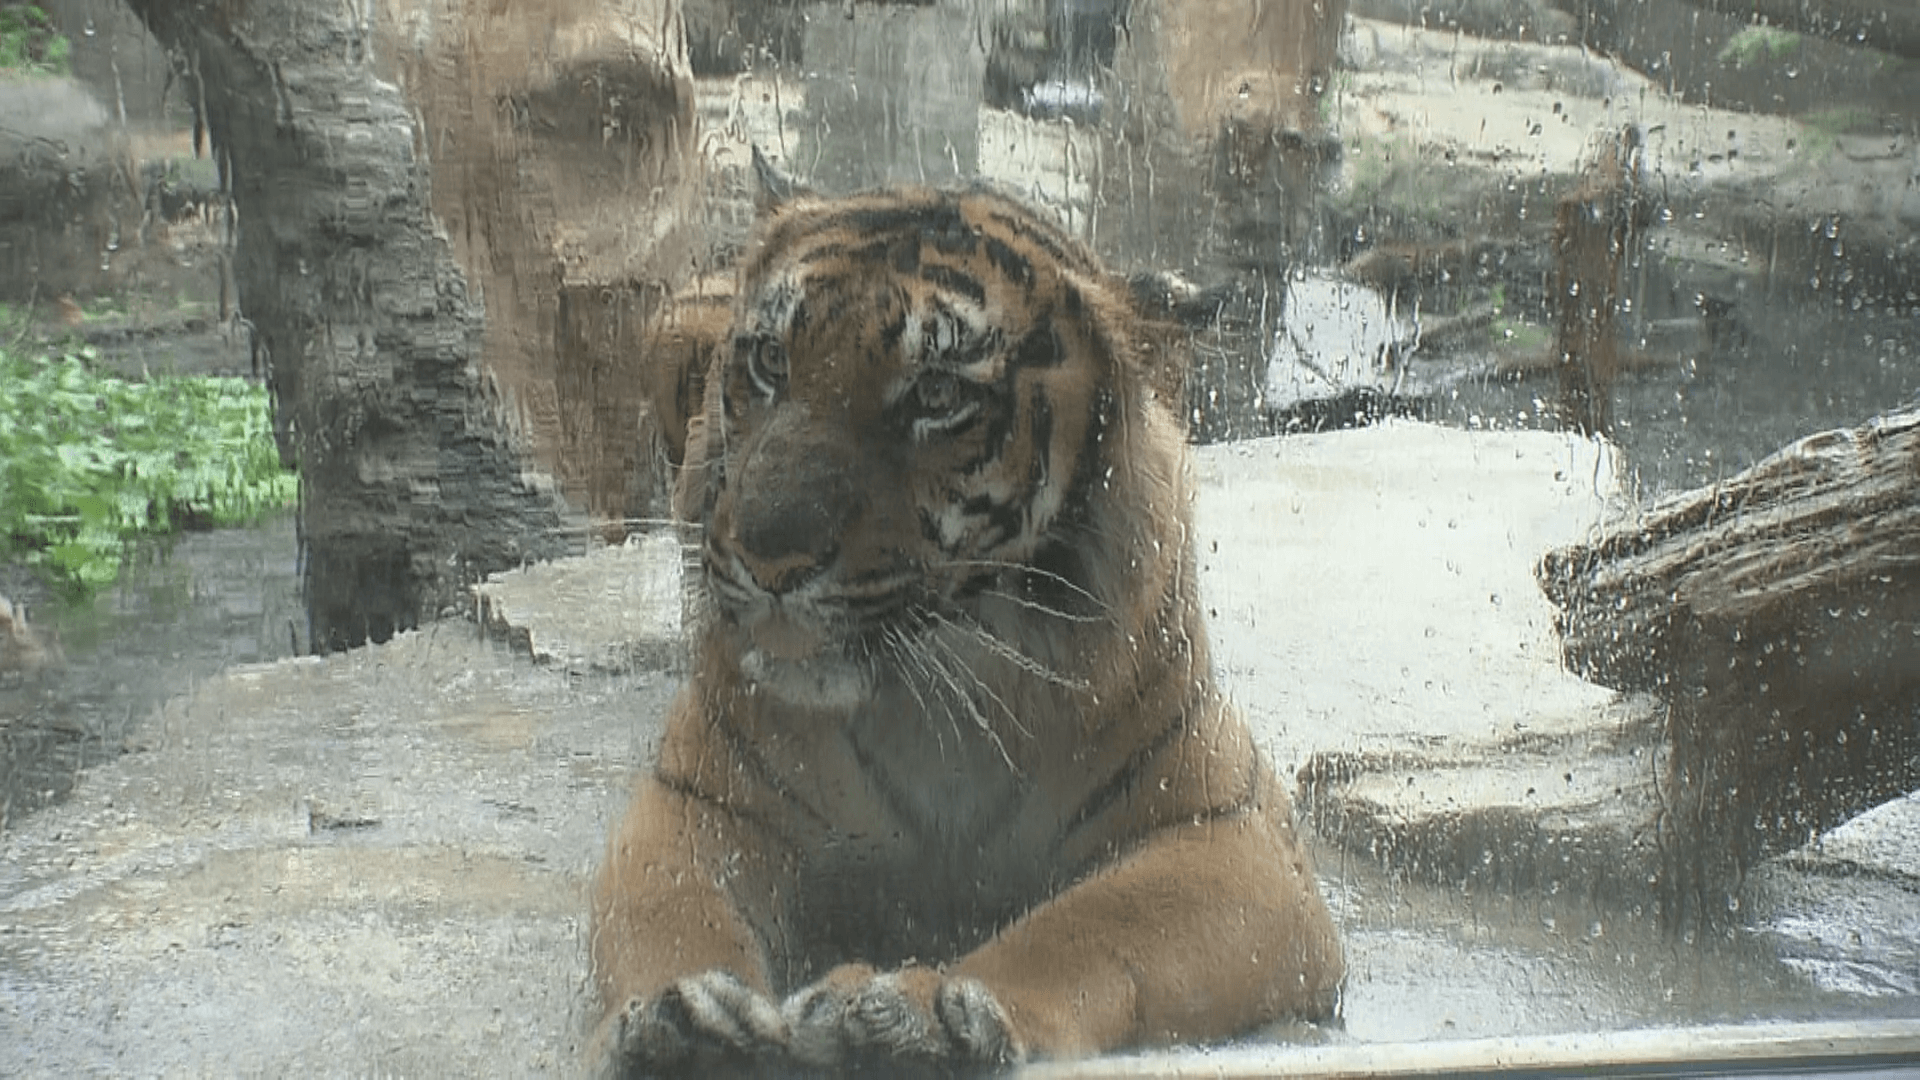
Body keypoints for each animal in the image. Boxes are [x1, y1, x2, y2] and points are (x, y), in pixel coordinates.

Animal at [591, 164, 1344, 1068]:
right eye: (772, 360)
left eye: (937, 393)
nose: (768, 557)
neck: (939, 690)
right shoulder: (698, 803)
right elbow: (672, 913)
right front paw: (683, 1019)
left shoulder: (1234, 836)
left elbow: (1084, 927)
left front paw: (920, 1015)